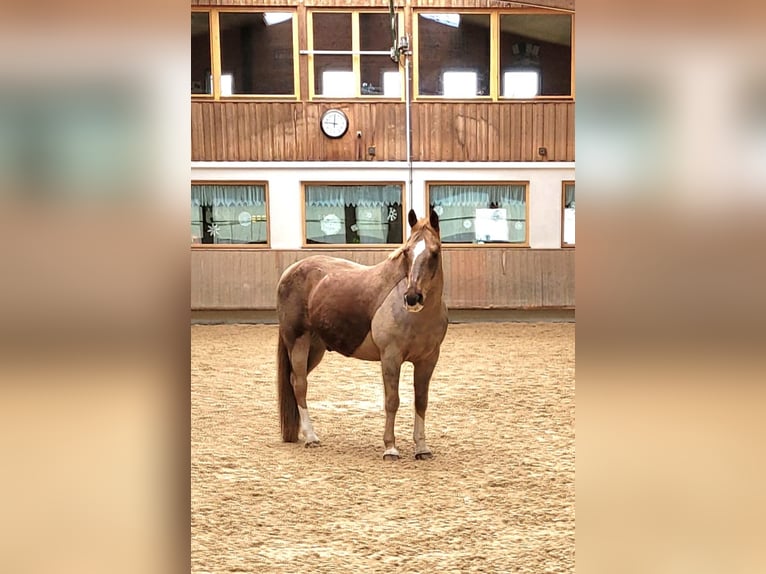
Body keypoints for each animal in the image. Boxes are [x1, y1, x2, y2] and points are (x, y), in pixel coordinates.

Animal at [276, 209, 448, 462]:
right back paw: (311, 437)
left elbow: (421, 401)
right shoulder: (390, 358)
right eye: (407, 252)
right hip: (298, 342)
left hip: (315, 349)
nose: (412, 297)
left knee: (294, 381)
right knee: (299, 384)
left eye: (434, 253)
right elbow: (392, 401)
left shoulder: (428, 360)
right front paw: (390, 448)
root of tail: (290, 271)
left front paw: (421, 448)